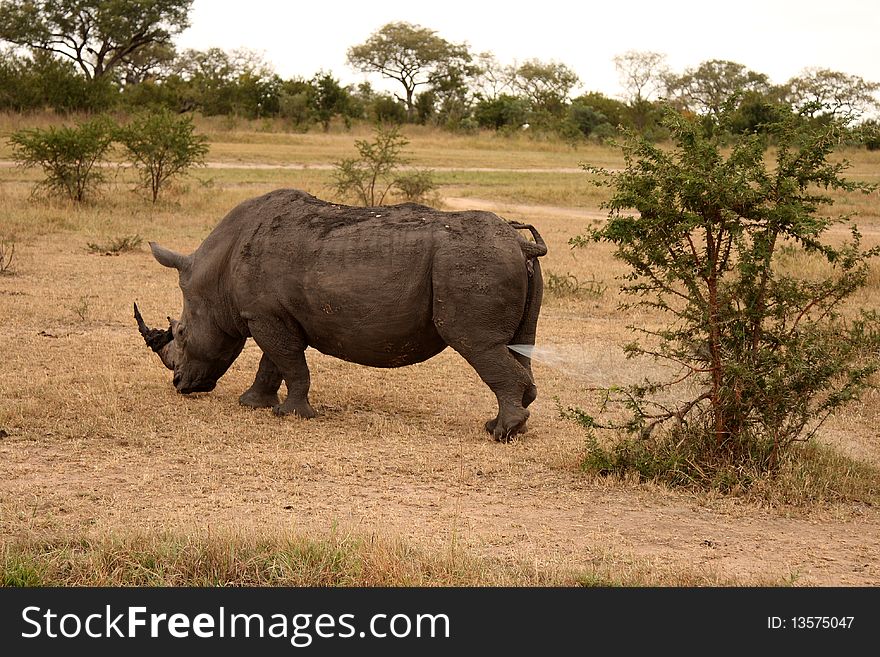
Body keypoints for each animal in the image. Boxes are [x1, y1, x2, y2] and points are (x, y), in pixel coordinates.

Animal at [134, 187, 548, 438]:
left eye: (182, 333)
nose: (179, 385)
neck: (214, 275)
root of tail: (521, 244)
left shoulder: (264, 315)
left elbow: (289, 362)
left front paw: (291, 415)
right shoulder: (270, 314)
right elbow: (273, 362)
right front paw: (253, 405)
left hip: (470, 262)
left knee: (477, 344)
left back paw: (500, 433)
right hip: (500, 262)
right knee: (518, 344)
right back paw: (503, 426)